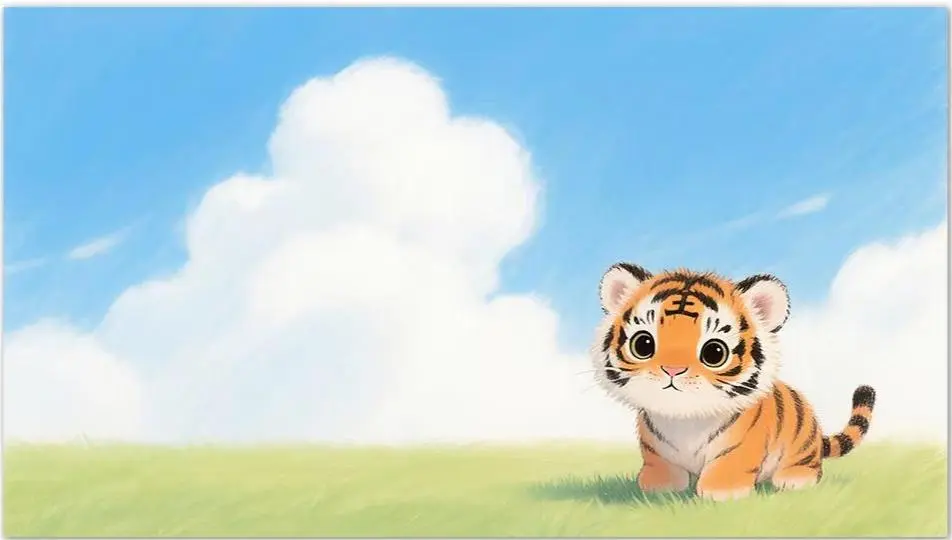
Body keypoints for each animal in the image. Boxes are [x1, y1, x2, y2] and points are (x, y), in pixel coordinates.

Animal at [590, 263, 876, 502]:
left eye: (714, 352)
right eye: (643, 344)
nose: (673, 369)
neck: (685, 420)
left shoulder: (742, 446)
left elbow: (729, 463)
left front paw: (721, 492)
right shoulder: (655, 446)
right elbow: (660, 462)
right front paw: (658, 485)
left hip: (802, 446)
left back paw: (794, 479)